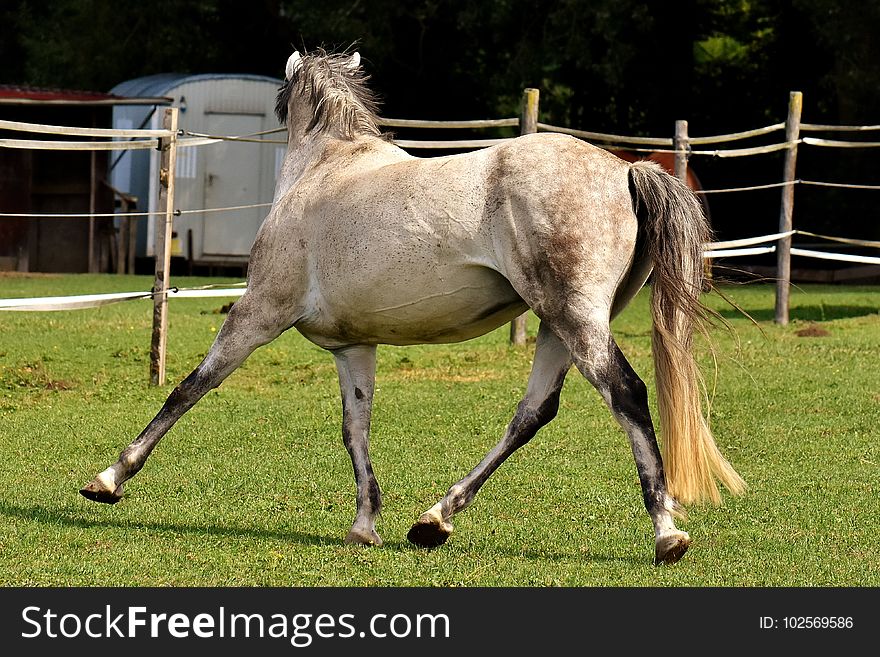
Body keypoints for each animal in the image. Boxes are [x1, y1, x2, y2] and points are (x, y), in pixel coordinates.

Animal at [81, 50, 744, 564]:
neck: (325, 170)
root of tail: (625, 170)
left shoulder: (257, 314)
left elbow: (189, 388)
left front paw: (108, 479)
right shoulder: (353, 346)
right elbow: (356, 428)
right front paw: (364, 527)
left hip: (576, 319)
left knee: (626, 393)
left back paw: (666, 534)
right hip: (559, 325)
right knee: (532, 414)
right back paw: (434, 520)